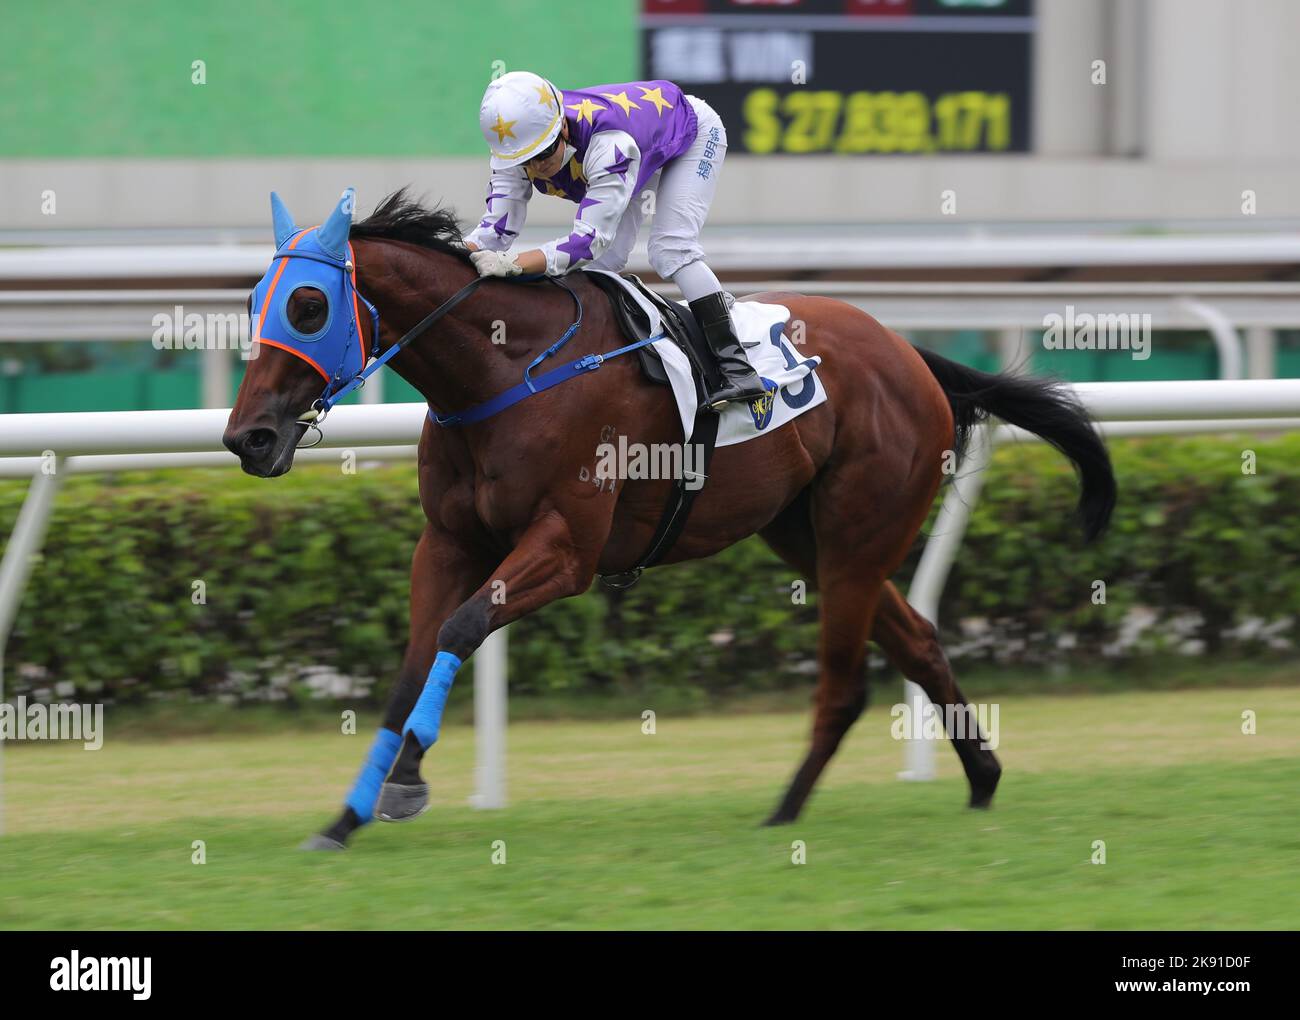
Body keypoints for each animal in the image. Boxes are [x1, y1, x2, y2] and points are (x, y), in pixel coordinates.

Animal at [223, 187, 1118, 847]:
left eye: (309, 306)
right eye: (255, 299)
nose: (247, 437)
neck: (504, 371)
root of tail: (911, 355)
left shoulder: (568, 549)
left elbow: (462, 627)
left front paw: (406, 783)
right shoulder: (447, 543)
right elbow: (411, 666)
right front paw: (345, 817)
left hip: (859, 534)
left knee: (846, 682)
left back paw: (785, 810)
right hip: (806, 536)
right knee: (921, 643)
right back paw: (981, 780)